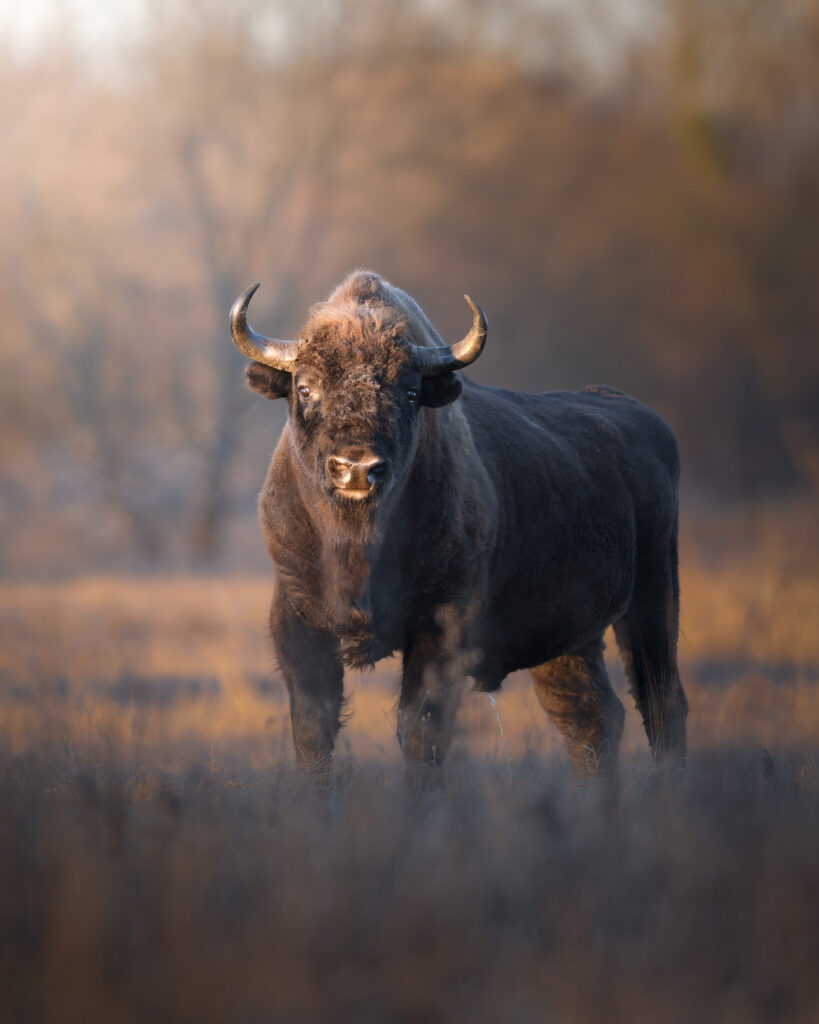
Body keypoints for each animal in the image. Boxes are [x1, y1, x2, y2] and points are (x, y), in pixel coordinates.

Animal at [231, 271, 688, 774]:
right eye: (305, 388)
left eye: (410, 392)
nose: (357, 468)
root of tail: (644, 420)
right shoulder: (298, 621)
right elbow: (314, 732)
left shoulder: (440, 628)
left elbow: (420, 731)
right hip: (571, 639)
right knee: (592, 716)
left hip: (653, 602)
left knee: (661, 704)